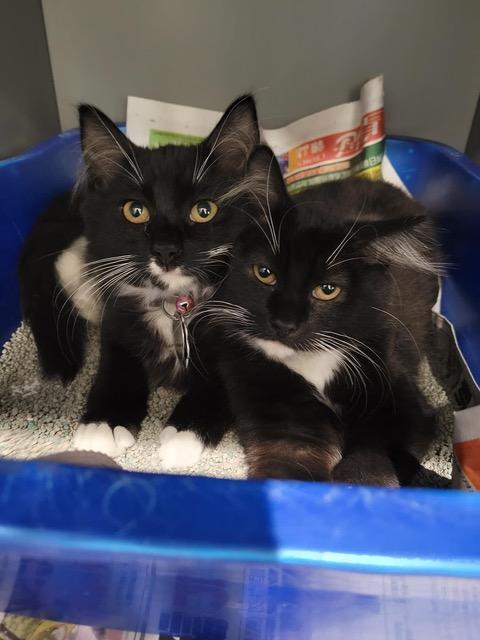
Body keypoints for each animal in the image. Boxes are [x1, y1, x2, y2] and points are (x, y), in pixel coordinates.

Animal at [18, 95, 260, 458]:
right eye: (135, 211)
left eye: (204, 211)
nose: (166, 249)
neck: (175, 304)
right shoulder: (117, 318)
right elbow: (117, 367)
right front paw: (103, 425)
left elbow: (220, 383)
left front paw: (183, 435)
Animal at [163, 145, 441, 486]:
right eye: (264, 273)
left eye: (328, 290)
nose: (284, 323)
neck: (311, 363)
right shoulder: (283, 421)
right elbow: (291, 470)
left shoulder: (402, 400)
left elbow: (372, 450)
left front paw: (362, 483)